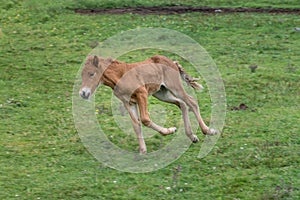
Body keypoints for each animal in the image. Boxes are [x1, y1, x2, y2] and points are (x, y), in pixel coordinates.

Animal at [78, 54, 217, 153]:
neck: (119, 75)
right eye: (82, 75)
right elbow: (136, 125)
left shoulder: (142, 94)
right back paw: (192, 136)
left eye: (91, 74)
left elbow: (145, 119)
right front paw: (143, 151)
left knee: (191, 102)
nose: (83, 93)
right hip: (162, 93)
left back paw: (208, 131)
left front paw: (168, 131)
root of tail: (173, 62)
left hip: (175, 87)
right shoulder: (128, 102)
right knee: (182, 104)